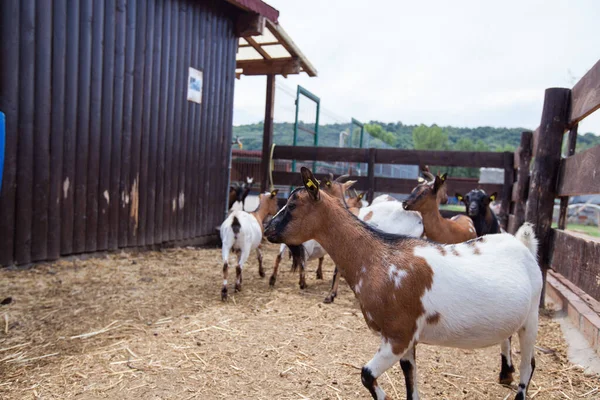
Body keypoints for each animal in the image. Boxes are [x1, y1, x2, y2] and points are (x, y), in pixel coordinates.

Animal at [264, 167, 540, 400]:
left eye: (292, 205)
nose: (267, 229)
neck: (377, 258)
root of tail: (523, 245)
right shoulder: (408, 342)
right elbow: (410, 380)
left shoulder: (398, 335)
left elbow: (366, 375)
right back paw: (505, 373)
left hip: (531, 319)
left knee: (529, 364)